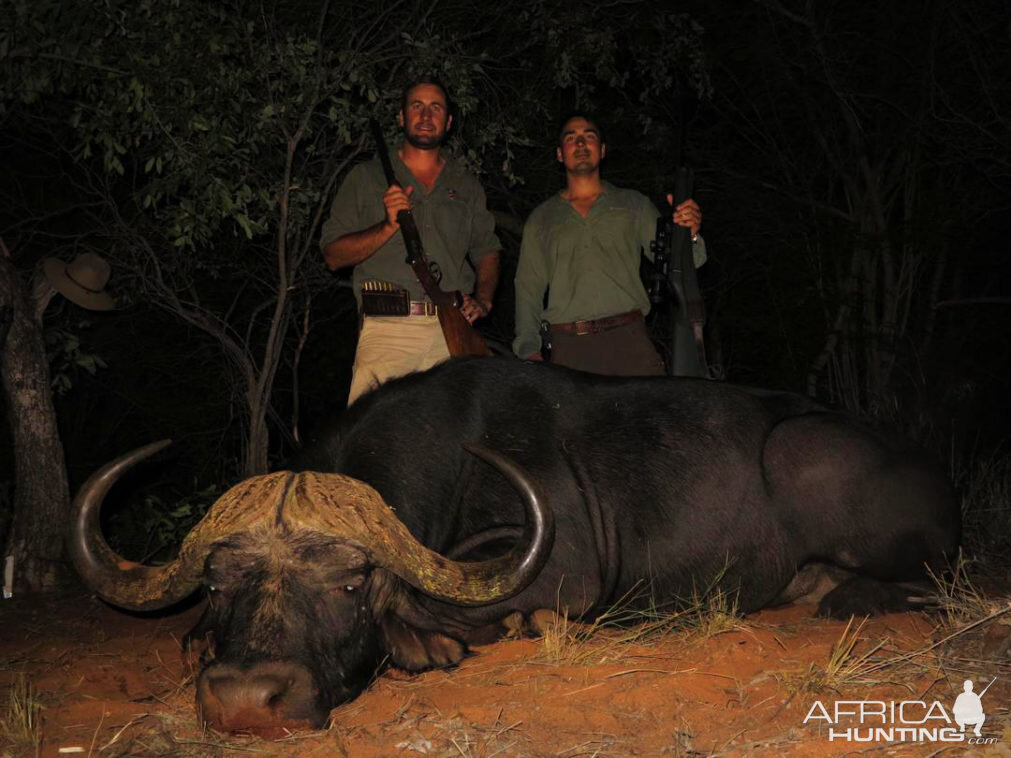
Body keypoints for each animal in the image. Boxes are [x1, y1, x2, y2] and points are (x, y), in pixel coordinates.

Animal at [67, 359, 958, 735]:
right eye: (220, 587)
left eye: (352, 585)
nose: (248, 701)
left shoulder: (559, 574)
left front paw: (430, 645)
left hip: (810, 458)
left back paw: (848, 597)